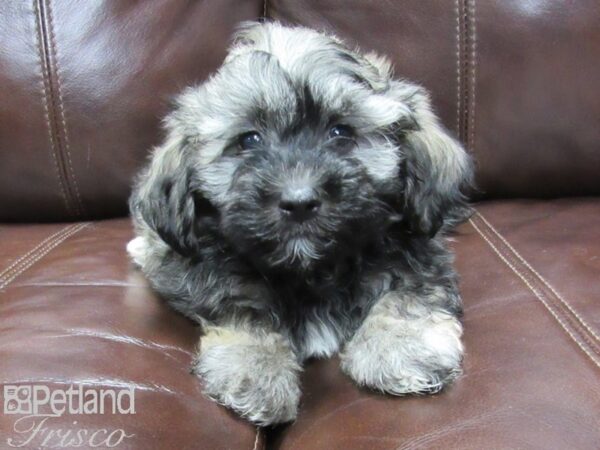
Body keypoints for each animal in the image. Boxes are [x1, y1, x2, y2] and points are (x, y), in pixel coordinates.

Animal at [127, 22, 474, 426]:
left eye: (341, 133)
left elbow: (408, 293)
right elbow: (245, 309)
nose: (299, 201)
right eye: (249, 139)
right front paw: (258, 370)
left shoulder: (418, 250)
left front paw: (400, 347)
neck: (313, 270)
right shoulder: (207, 272)